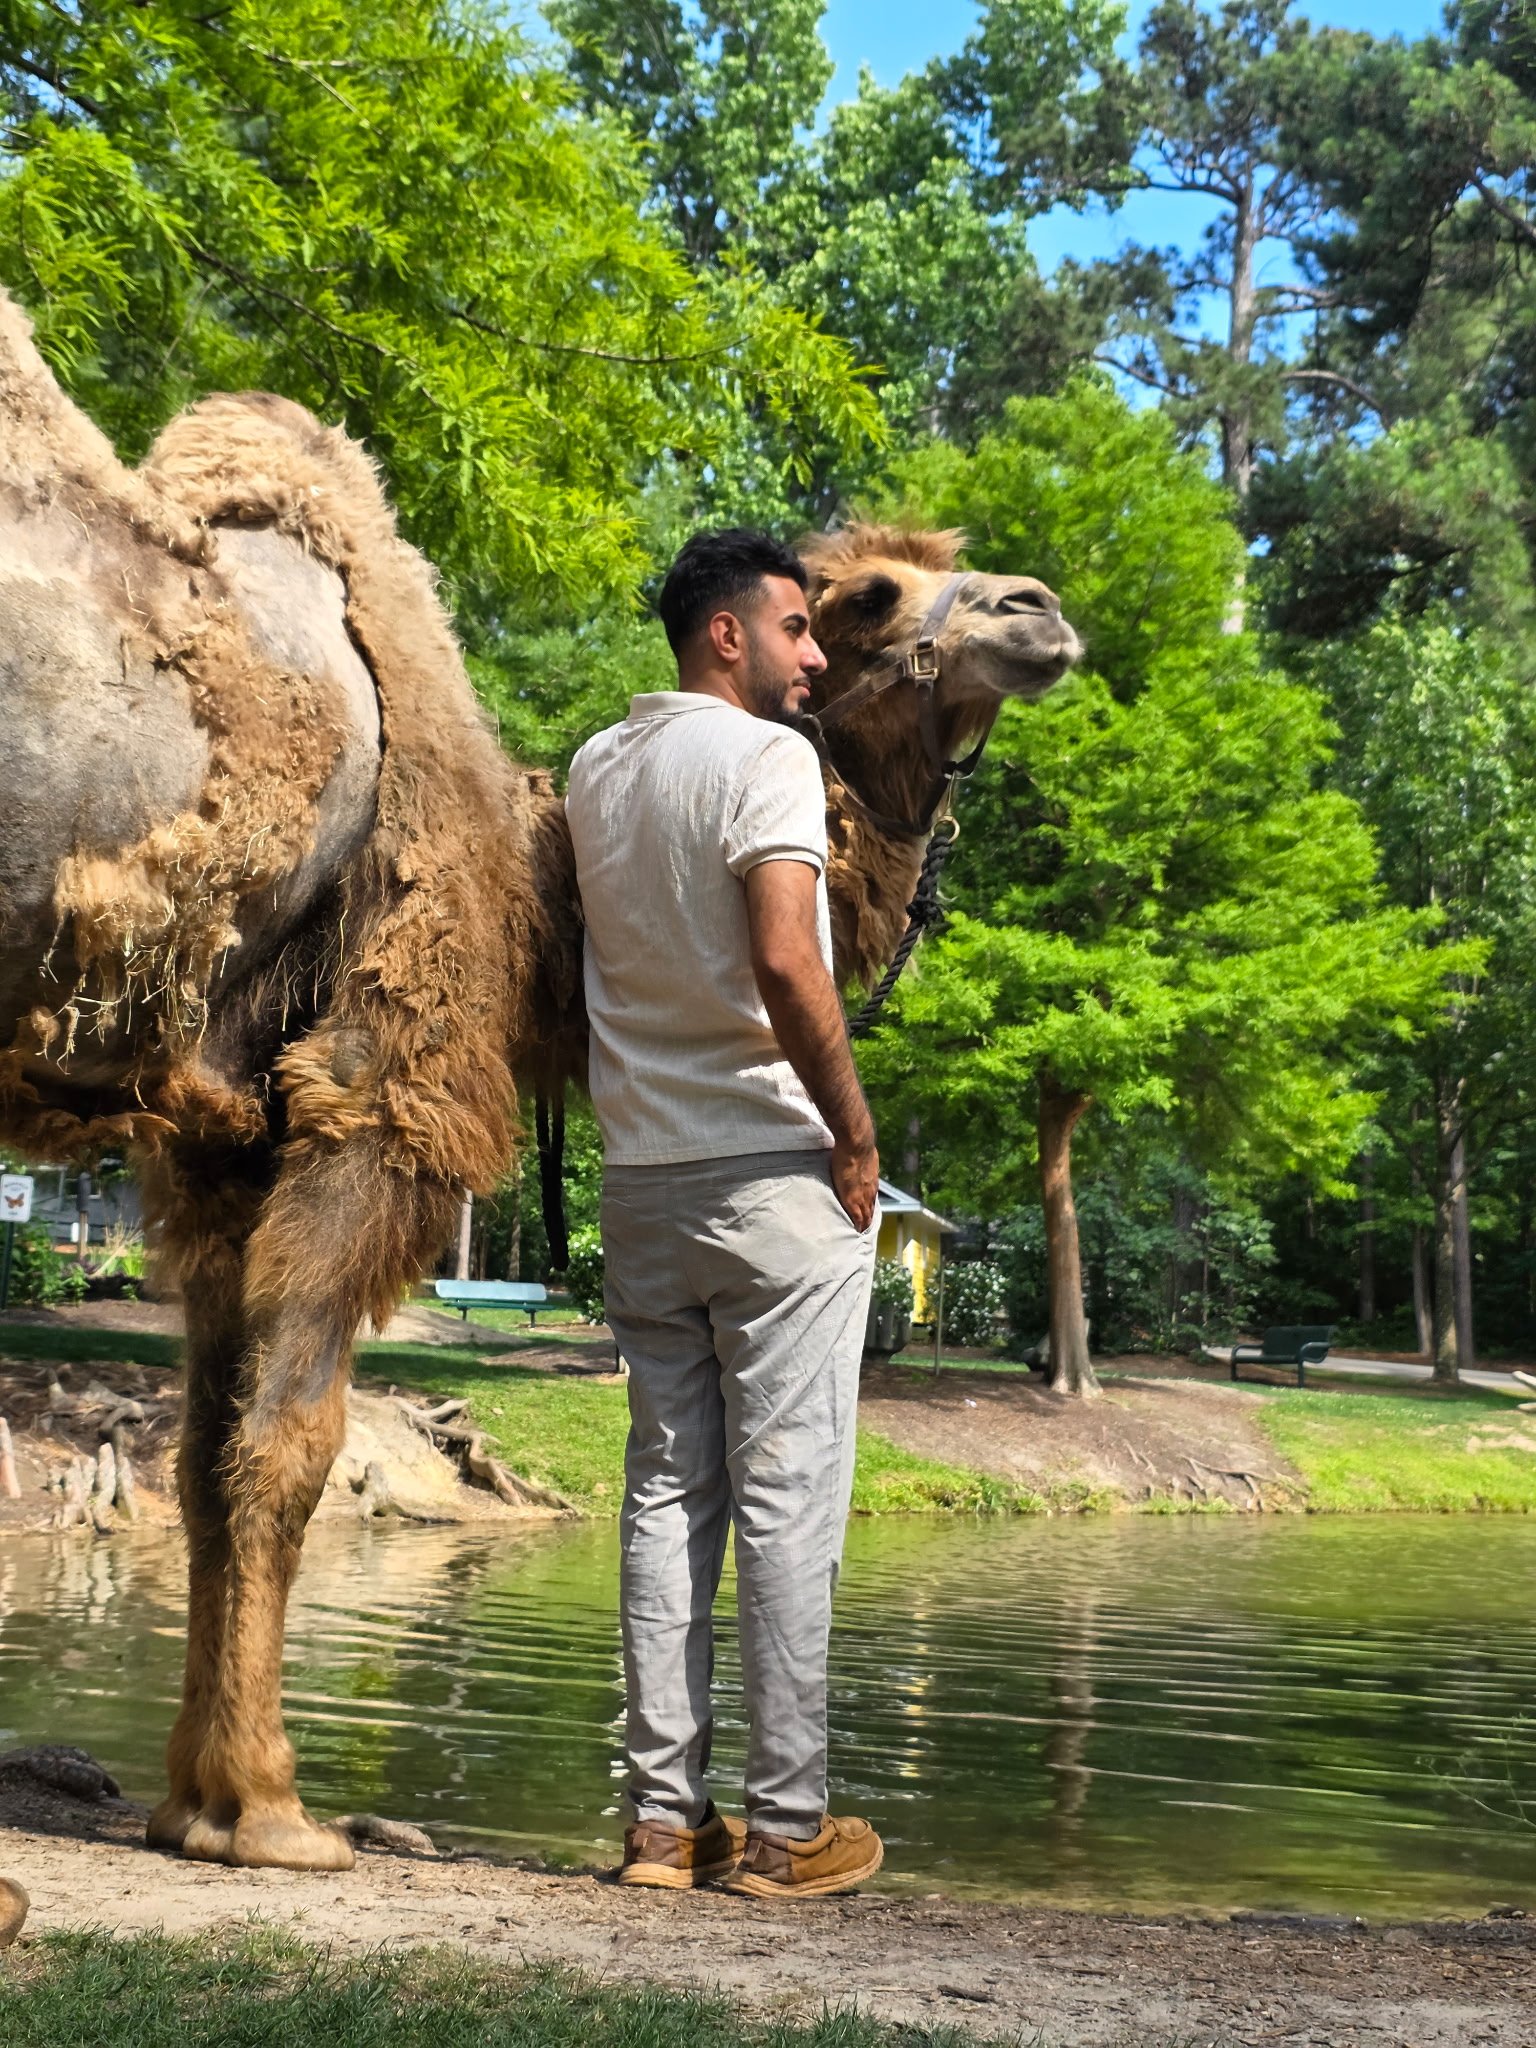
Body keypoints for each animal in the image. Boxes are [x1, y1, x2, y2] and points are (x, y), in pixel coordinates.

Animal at [0, 282, 1078, 1873]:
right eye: (863, 600)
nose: (1040, 610)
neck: (529, 884)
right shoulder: (377, 1101)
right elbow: (288, 1444)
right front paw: (270, 1812)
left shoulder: (217, 1145)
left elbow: (200, 1454)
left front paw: (191, 1801)